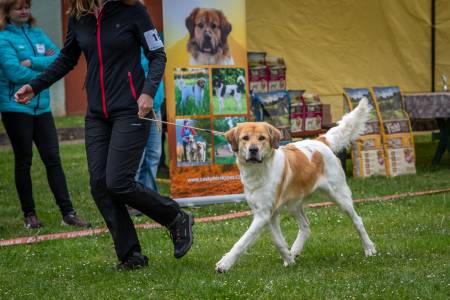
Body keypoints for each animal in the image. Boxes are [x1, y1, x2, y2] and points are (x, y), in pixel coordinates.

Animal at [216, 98, 378, 272]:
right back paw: (295, 250)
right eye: (245, 138)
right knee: (306, 226)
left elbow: (243, 241)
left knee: (357, 220)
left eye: (262, 138)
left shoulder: (263, 214)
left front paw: (225, 264)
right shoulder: (267, 214)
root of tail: (320, 140)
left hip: (340, 196)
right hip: (294, 204)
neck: (259, 170)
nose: (253, 150)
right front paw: (289, 260)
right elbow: (278, 241)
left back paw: (369, 248)